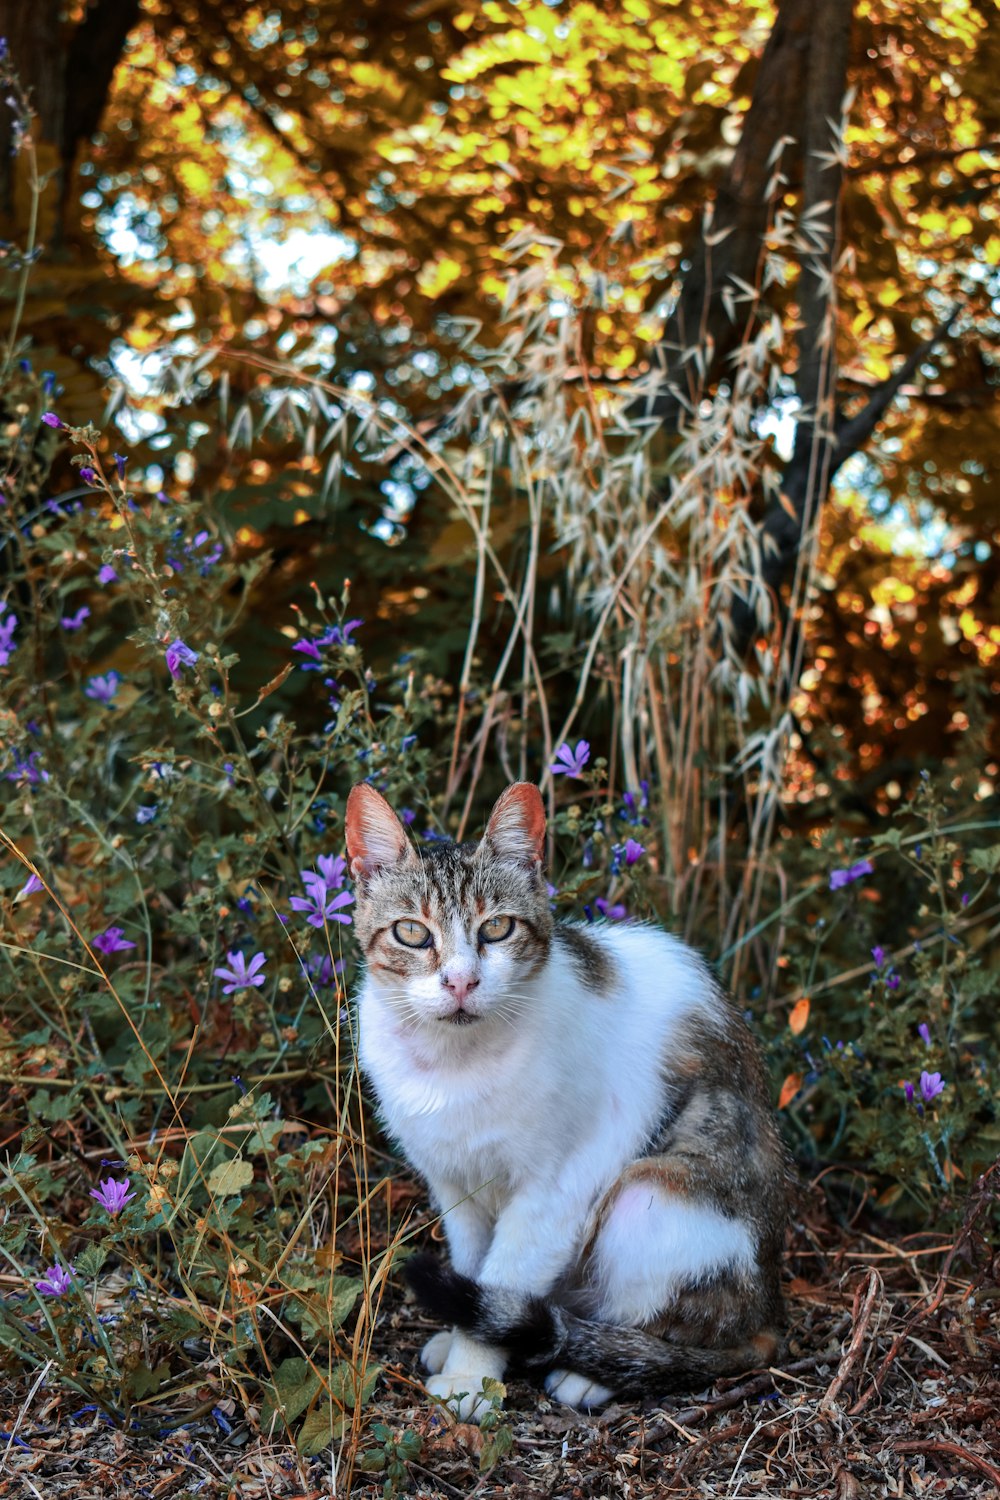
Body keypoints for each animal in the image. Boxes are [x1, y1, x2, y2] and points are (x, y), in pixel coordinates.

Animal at [344, 780, 791, 1422]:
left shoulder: (553, 1192)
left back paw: (596, 1368)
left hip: (651, 1197)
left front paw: (471, 1377)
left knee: (681, 1325)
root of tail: (771, 1306)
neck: (453, 1063)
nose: (460, 981)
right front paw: (459, 1337)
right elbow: (474, 1268)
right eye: (412, 933)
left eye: (497, 929)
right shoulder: (456, 1188)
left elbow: (504, 1278)